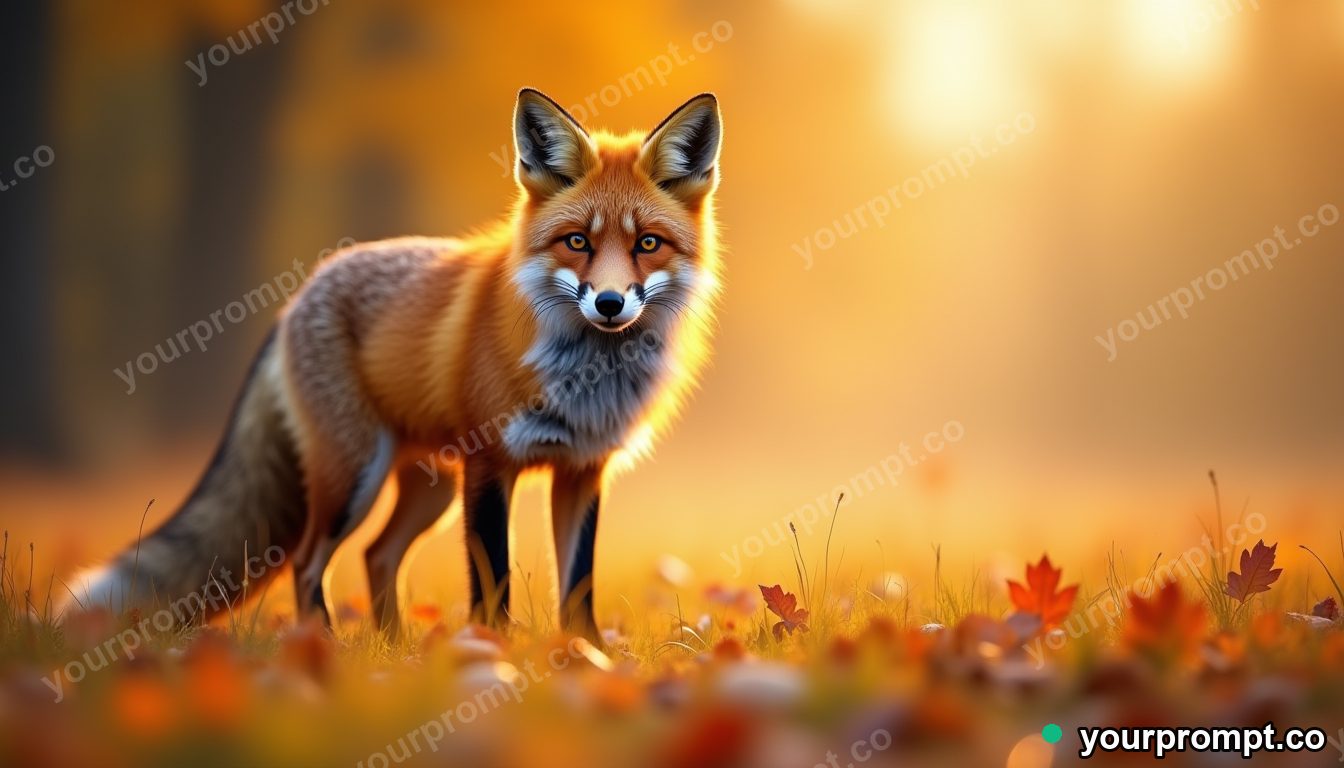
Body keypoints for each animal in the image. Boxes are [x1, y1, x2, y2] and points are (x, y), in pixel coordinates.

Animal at [64, 89, 723, 640]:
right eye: (577, 242)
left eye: (647, 244)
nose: (610, 304)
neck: (586, 376)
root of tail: (298, 296)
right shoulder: (489, 465)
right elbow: (493, 583)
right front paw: (492, 656)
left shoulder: (583, 470)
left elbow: (578, 588)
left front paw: (587, 659)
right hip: (354, 475)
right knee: (308, 561)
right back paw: (325, 650)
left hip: (429, 488)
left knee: (376, 555)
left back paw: (397, 650)